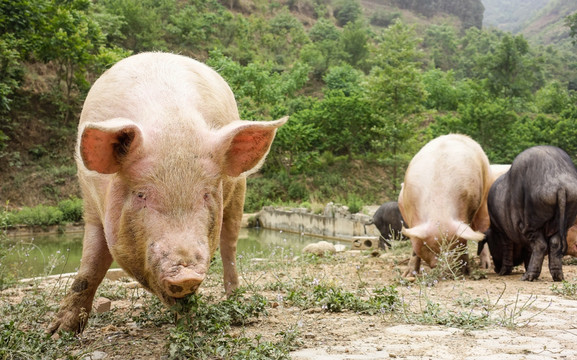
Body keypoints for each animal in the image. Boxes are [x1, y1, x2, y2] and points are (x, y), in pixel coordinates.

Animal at [48, 52, 286, 334]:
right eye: (142, 195)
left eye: (206, 194)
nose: (186, 274)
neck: (170, 121)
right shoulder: (91, 201)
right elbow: (91, 266)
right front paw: (58, 332)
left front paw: (187, 324)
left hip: (239, 189)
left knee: (230, 247)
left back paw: (235, 299)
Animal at [484, 146, 576, 282]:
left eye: (491, 245)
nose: (496, 269)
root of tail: (560, 186)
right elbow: (528, 251)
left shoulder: (501, 230)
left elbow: (507, 248)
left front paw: (503, 272)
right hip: (567, 214)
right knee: (555, 243)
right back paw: (558, 277)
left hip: (531, 219)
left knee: (541, 245)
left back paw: (527, 277)